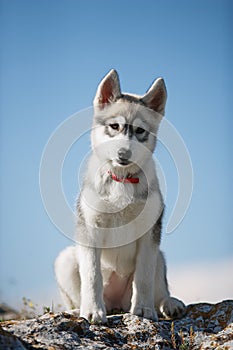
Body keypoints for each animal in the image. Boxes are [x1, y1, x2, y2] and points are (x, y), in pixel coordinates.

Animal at [54, 69, 186, 324]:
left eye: (140, 131)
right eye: (114, 126)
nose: (124, 153)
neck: (122, 179)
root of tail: (116, 304)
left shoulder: (150, 233)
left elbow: (143, 277)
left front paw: (143, 309)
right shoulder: (90, 229)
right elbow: (92, 276)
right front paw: (92, 311)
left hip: (159, 257)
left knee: (159, 288)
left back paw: (168, 303)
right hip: (65, 259)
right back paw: (78, 310)